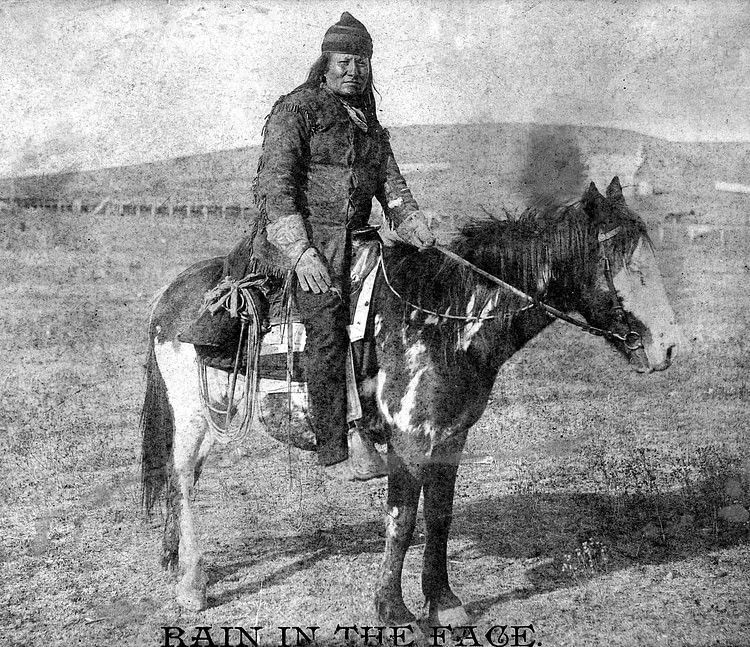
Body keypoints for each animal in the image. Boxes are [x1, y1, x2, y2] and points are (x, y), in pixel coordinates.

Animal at [140, 177, 680, 628]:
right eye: (620, 263)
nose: (669, 347)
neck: (446, 320)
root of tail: (170, 296)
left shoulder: (451, 439)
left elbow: (439, 516)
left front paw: (444, 602)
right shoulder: (409, 439)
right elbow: (401, 521)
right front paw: (392, 608)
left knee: (178, 475)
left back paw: (173, 559)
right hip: (193, 413)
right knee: (182, 477)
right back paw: (193, 585)